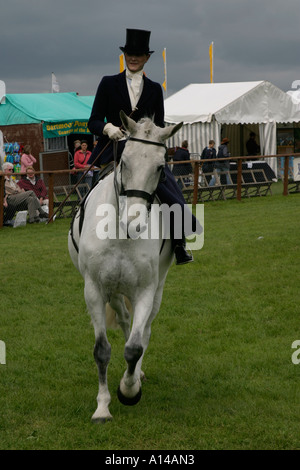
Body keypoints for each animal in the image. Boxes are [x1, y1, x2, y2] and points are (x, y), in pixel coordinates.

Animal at [68, 111, 183, 422]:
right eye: (125, 162)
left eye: (160, 167)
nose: (134, 222)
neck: (120, 233)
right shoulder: (94, 290)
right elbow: (101, 350)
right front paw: (102, 406)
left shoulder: (145, 290)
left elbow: (134, 347)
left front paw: (128, 391)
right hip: (114, 291)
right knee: (123, 319)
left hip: (156, 288)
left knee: (143, 331)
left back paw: (137, 375)